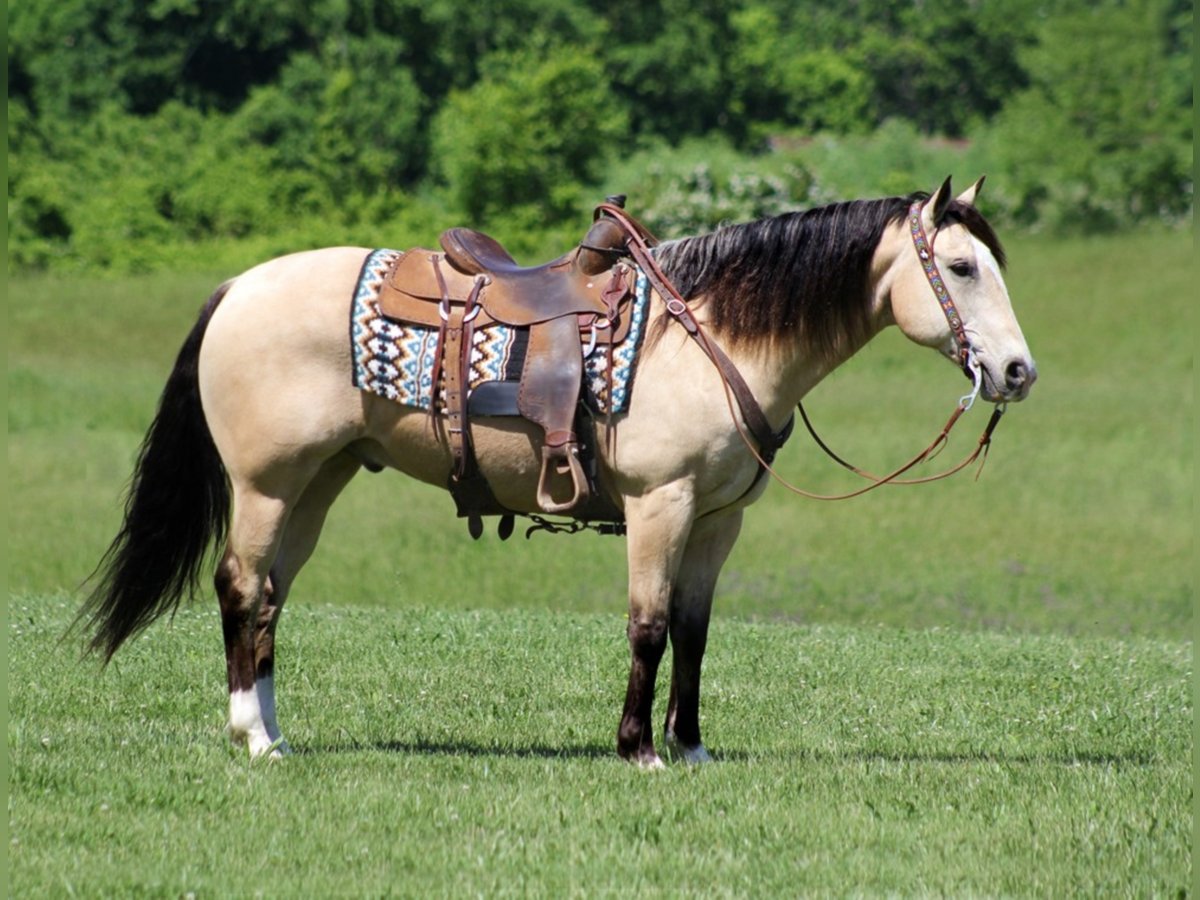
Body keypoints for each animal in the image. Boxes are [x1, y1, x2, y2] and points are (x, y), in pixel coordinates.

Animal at [79, 177, 1032, 768]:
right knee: (241, 586)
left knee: (271, 594)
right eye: (959, 267)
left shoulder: (718, 520)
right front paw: (638, 748)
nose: (1018, 372)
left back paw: (274, 732)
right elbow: (648, 626)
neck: (707, 336)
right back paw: (250, 733)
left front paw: (692, 746)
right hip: (267, 484)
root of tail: (238, 287)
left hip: (321, 480)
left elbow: (694, 632)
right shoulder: (660, 506)